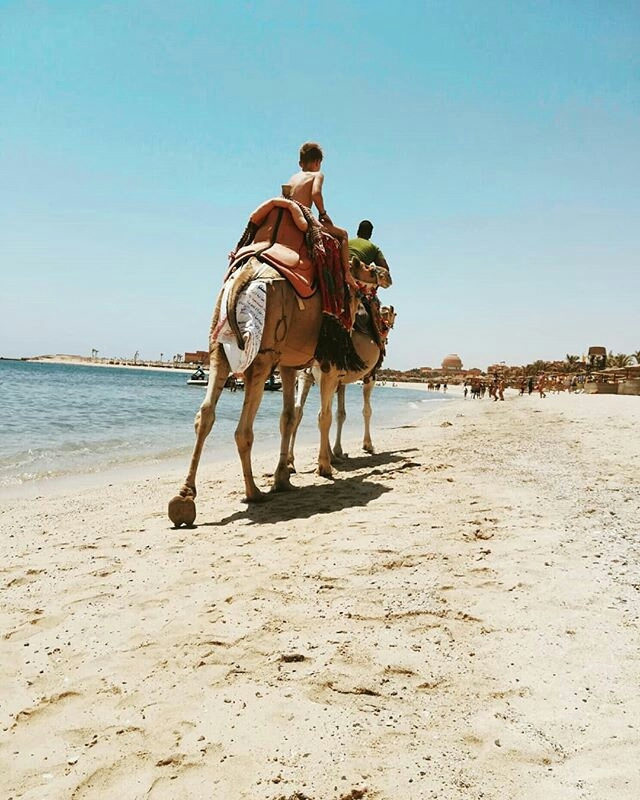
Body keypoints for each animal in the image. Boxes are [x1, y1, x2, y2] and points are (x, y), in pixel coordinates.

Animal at [287, 301, 396, 474]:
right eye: (394, 314)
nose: (391, 324)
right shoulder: (370, 376)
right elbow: (366, 410)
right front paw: (368, 445)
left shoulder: (341, 382)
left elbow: (340, 413)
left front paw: (337, 451)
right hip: (327, 373)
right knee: (322, 414)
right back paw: (325, 463)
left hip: (305, 374)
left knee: (299, 410)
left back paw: (291, 462)